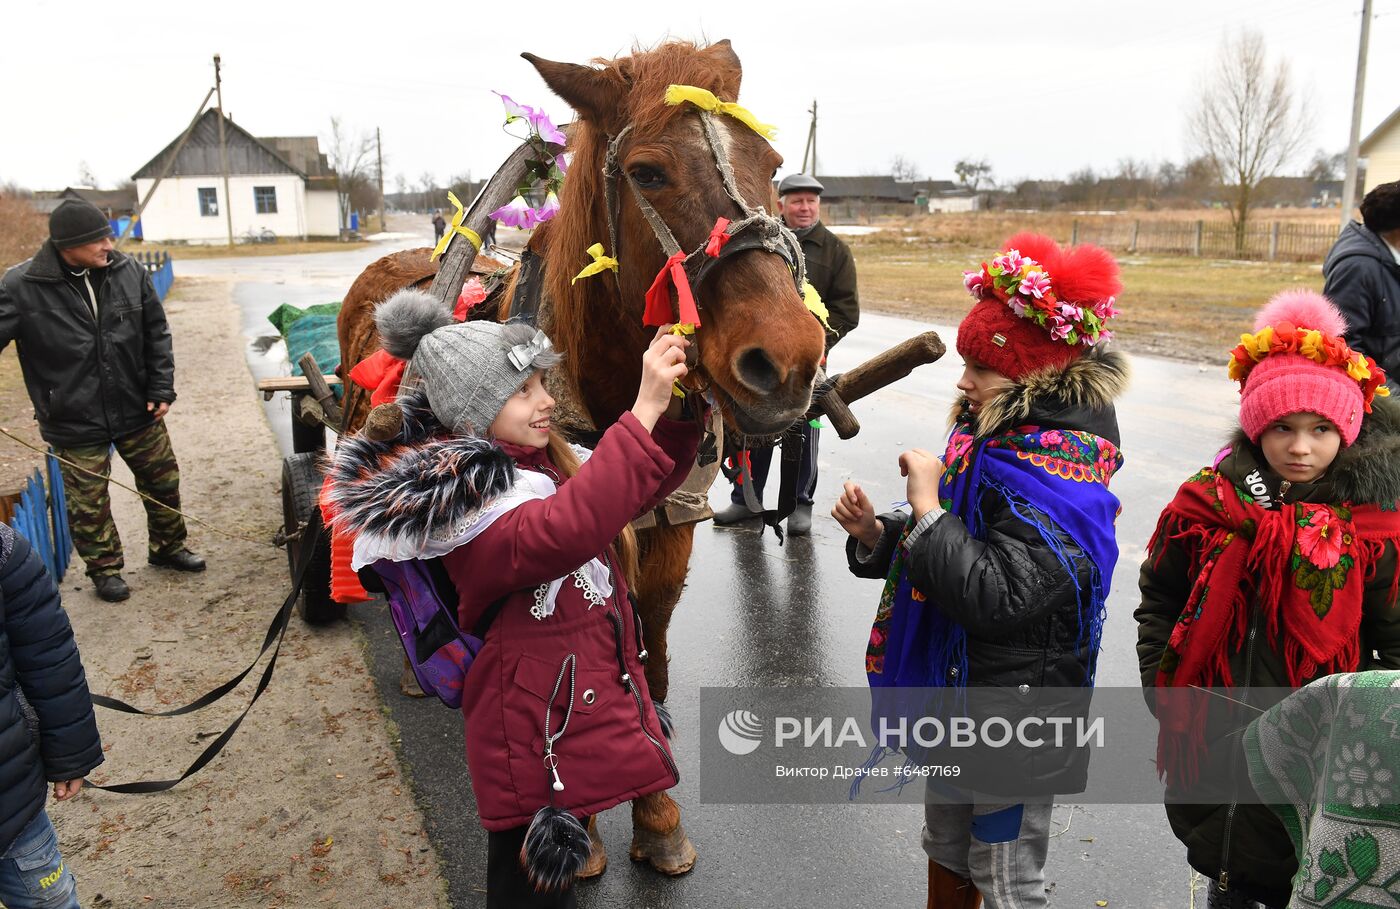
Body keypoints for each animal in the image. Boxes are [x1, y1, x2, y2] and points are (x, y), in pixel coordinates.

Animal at [334, 40, 823, 873]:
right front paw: (587, 822)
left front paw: (655, 809)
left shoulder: (672, 516)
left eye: (774, 162)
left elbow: (647, 636)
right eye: (649, 172)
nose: (788, 358)